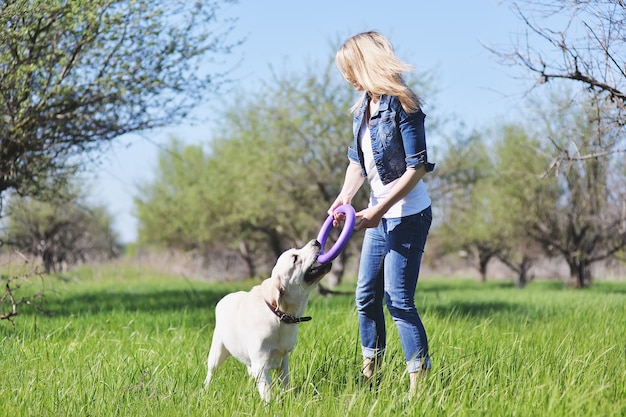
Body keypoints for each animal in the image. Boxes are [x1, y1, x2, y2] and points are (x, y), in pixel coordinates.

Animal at [204, 239, 332, 402]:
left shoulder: (283, 360)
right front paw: (270, 405)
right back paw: (205, 389)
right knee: (211, 372)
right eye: (295, 258)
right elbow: (267, 392)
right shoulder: (261, 364)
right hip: (218, 351)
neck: (280, 316)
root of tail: (224, 299)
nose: (316, 241)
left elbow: (285, 384)